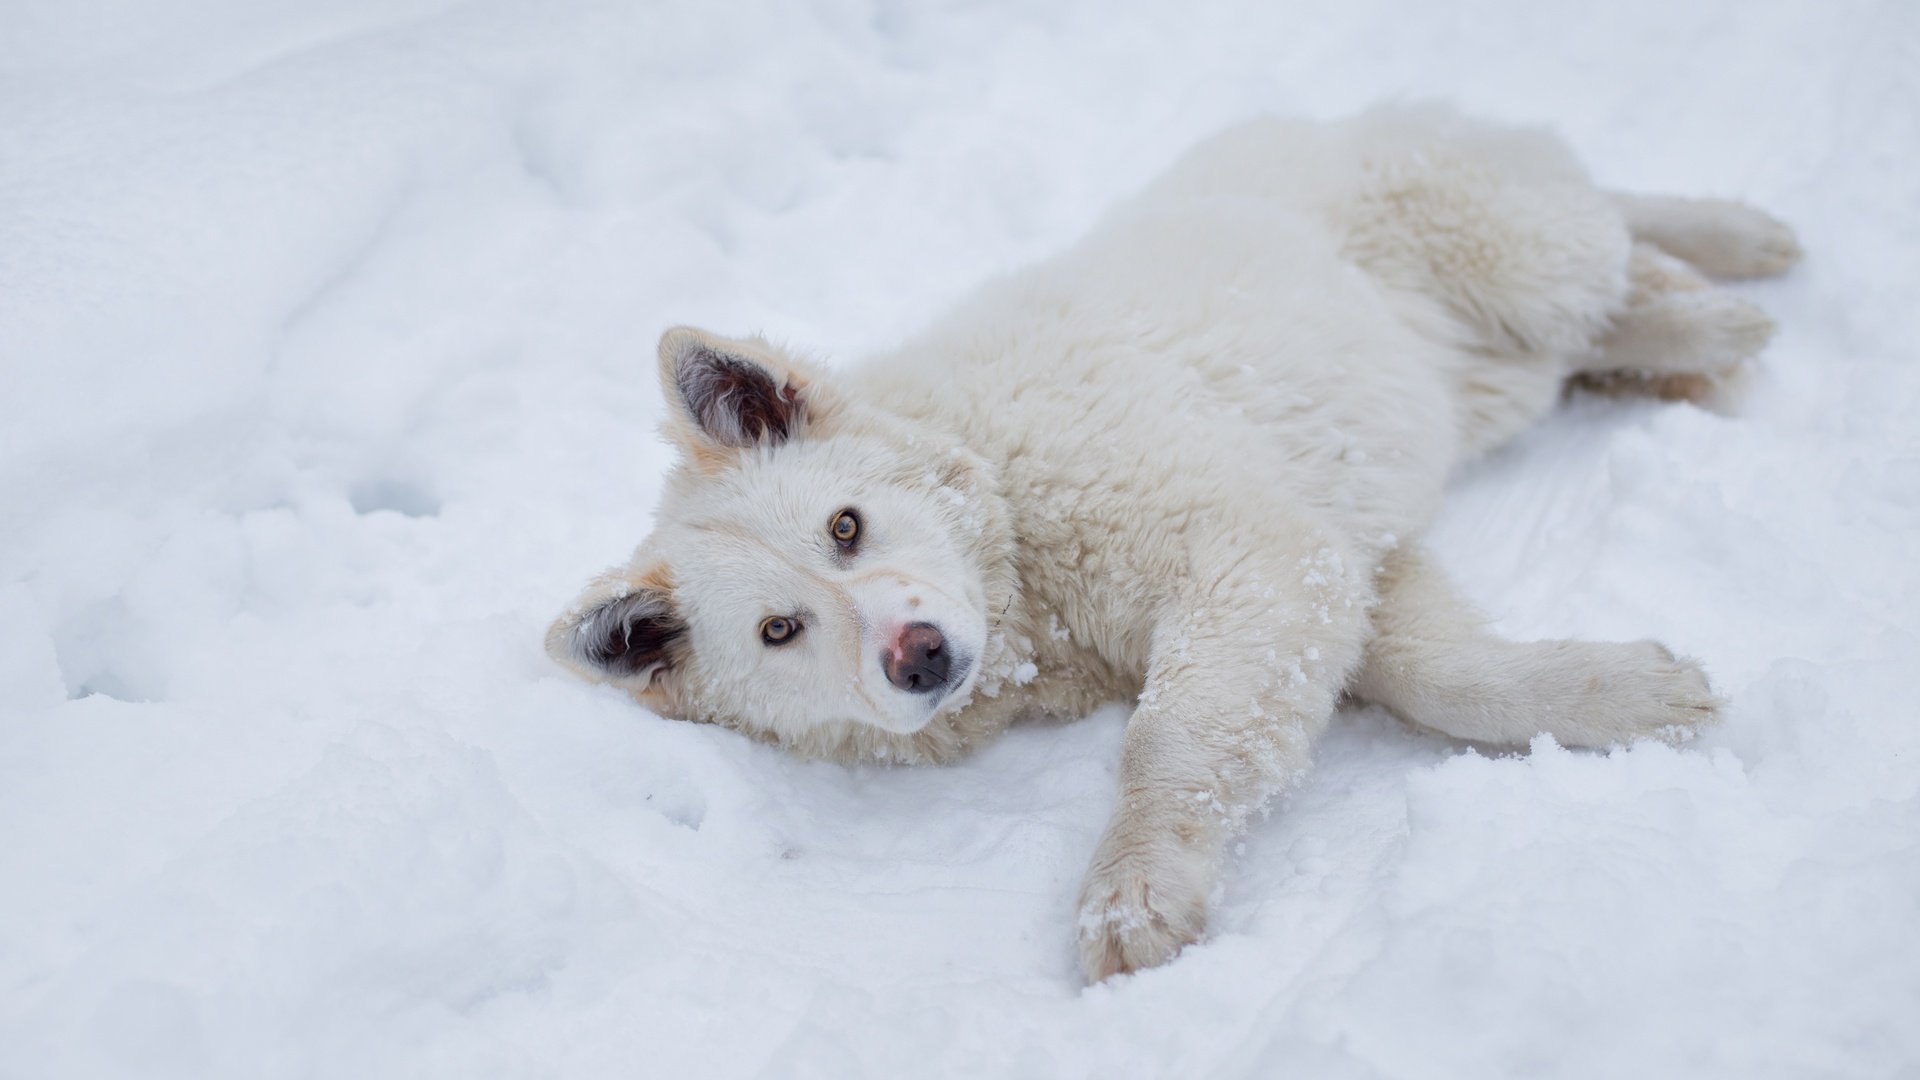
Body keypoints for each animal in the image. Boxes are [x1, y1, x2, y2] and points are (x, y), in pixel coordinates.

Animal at [545, 105, 1797, 980]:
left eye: (844, 527)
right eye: (781, 631)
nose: (918, 657)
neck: (1014, 534)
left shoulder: (1248, 549)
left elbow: (1171, 739)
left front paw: (1132, 887)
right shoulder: (1339, 558)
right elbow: (1445, 676)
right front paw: (1621, 694)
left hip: (1508, 250)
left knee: (1607, 233)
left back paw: (1722, 276)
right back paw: (1693, 324)